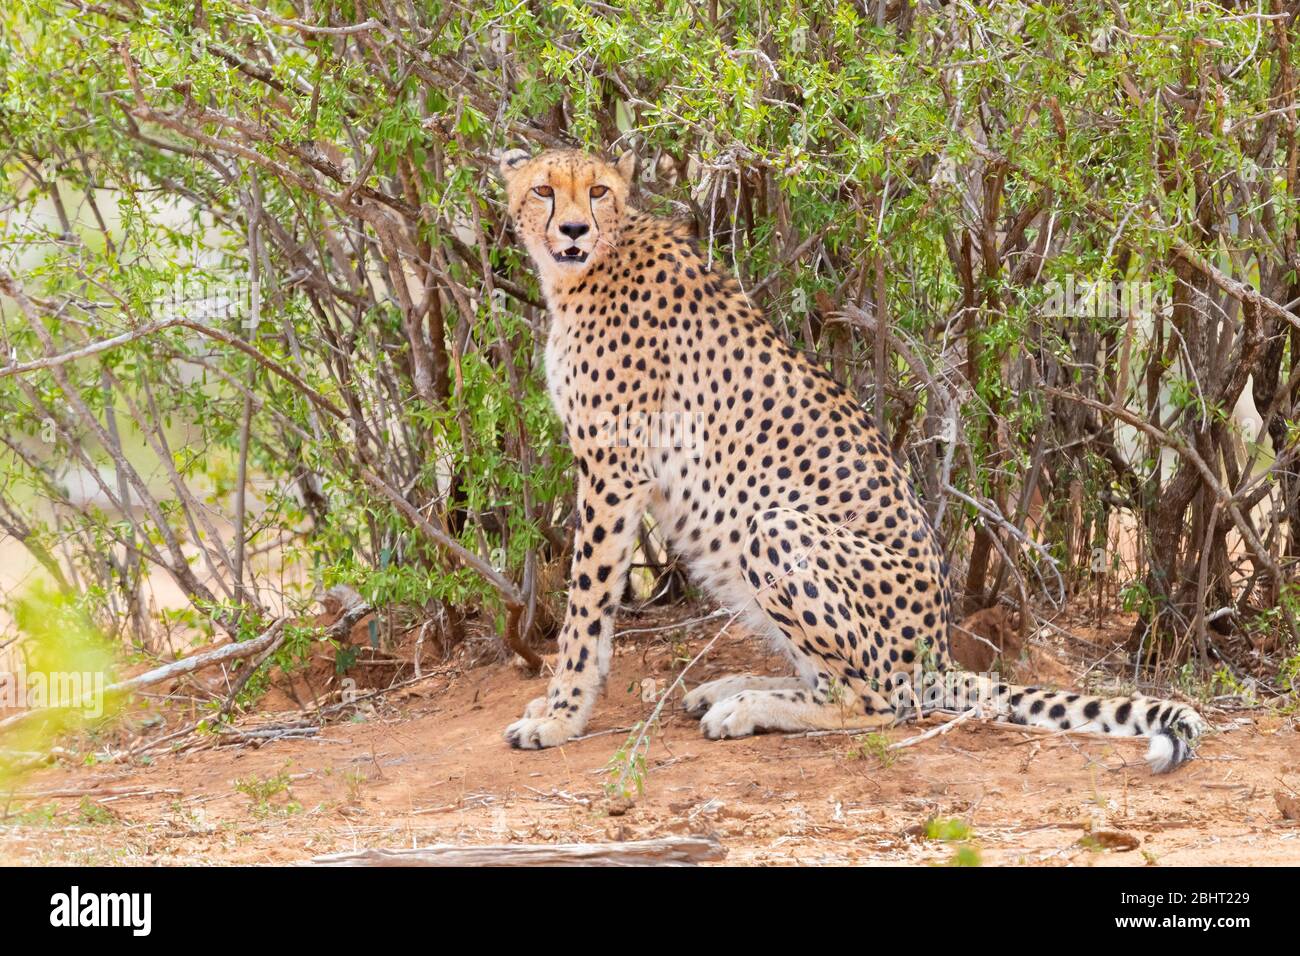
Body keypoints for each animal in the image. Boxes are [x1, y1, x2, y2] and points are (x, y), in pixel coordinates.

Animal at [496, 149, 1206, 775]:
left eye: (597, 192)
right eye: (544, 190)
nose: (573, 230)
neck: (585, 269)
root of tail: (938, 650)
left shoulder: (613, 469)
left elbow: (586, 606)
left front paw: (561, 715)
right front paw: (560, 708)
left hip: (774, 527)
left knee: (880, 700)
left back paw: (747, 706)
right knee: (830, 677)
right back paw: (734, 688)